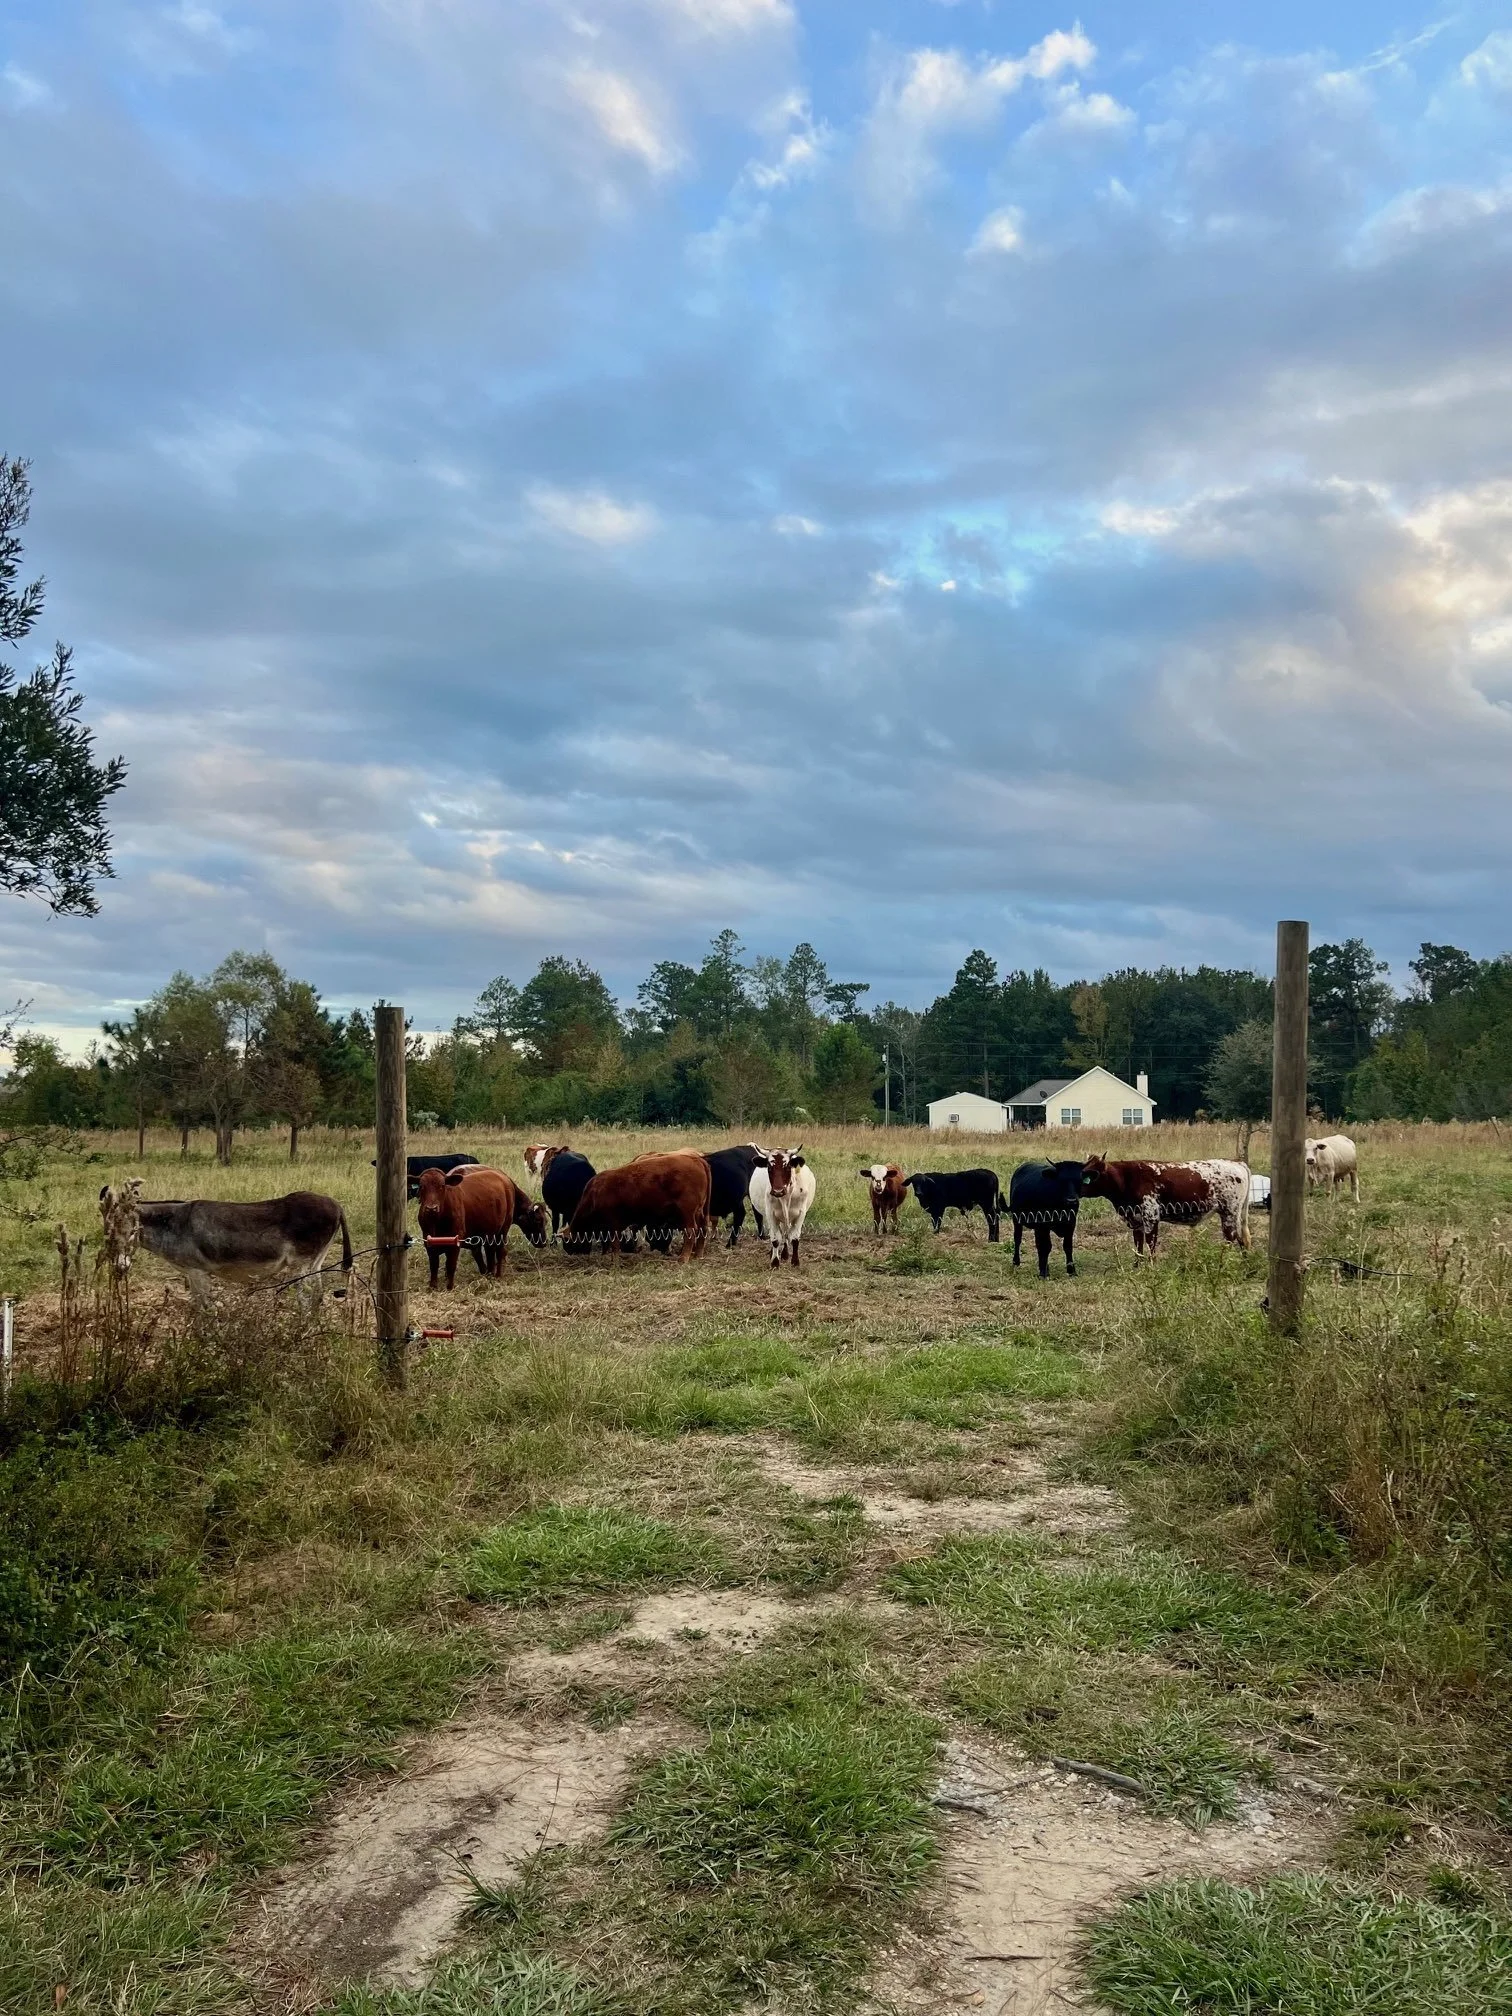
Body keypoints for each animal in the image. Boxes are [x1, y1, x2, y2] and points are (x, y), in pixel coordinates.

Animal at [102, 1183, 352, 1301]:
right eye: (107, 1233)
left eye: (133, 1232)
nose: (119, 1268)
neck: (174, 1225)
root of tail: (336, 1204)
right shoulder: (192, 1274)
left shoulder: (198, 1272)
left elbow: (204, 1311)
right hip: (315, 1262)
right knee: (317, 1297)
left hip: (300, 1265)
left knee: (307, 1299)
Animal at [567, 1152, 711, 1261]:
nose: (570, 1253)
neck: (595, 1193)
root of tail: (696, 1159)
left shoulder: (613, 1222)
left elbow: (614, 1243)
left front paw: (614, 1260)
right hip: (699, 1211)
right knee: (702, 1228)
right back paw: (698, 1255)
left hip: (687, 1211)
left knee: (691, 1231)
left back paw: (683, 1258)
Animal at [1079, 1156, 1251, 1257]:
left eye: (1091, 1175)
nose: (1076, 1189)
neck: (1127, 1178)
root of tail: (1237, 1163)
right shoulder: (1136, 1220)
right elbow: (1138, 1245)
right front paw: (1137, 1268)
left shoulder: (1151, 1217)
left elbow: (1150, 1243)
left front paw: (1151, 1267)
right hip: (1234, 1215)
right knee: (1241, 1239)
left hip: (1229, 1212)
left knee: (1230, 1238)